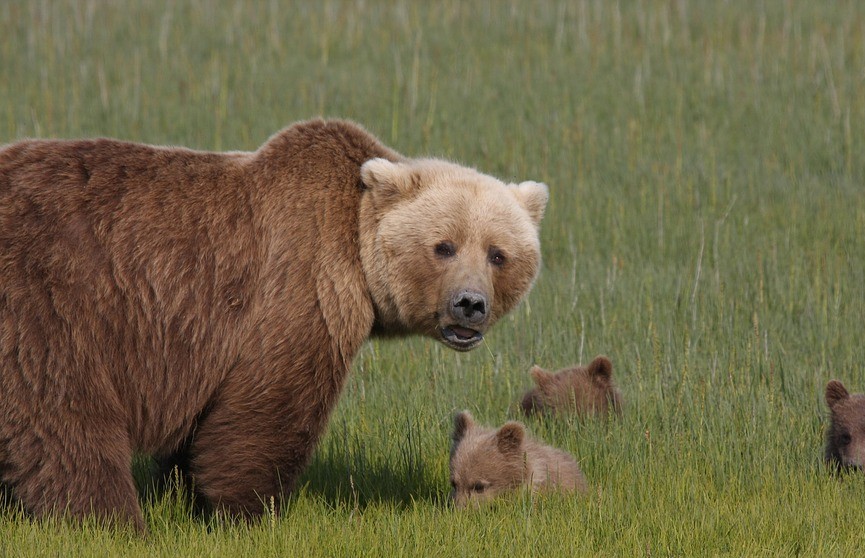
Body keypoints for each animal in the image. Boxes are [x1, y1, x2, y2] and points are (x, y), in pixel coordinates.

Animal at [0, 120, 552, 532]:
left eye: (498, 253)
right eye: (444, 246)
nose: (469, 305)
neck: (356, 250)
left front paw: (184, 491)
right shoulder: (299, 288)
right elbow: (268, 409)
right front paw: (247, 511)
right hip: (53, 301)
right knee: (63, 414)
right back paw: (110, 518)